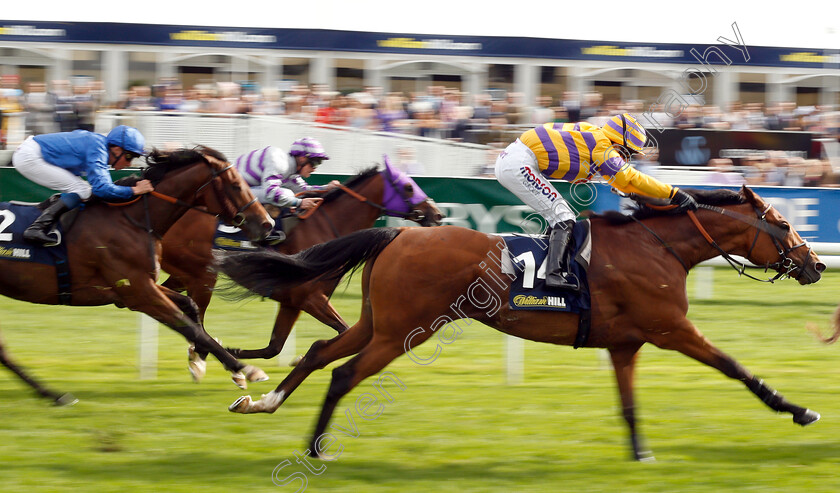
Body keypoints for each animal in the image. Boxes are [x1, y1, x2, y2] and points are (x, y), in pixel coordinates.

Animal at [0, 144, 274, 402]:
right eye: (236, 185)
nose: (268, 224)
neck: (132, 219)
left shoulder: (144, 285)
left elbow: (191, 307)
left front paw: (202, 357)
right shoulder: (138, 293)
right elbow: (186, 325)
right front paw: (244, 369)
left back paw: (53, 395)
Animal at [159, 160, 446, 382]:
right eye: (408, 186)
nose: (437, 214)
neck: (326, 226)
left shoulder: (292, 301)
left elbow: (273, 347)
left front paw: (247, 355)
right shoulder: (311, 297)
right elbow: (343, 329)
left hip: (183, 274)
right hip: (202, 276)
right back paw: (200, 359)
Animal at [218, 185, 828, 462]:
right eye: (782, 223)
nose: (816, 264)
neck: (660, 248)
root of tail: (400, 232)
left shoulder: (625, 344)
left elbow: (629, 404)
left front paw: (640, 454)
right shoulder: (671, 330)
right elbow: (736, 367)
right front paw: (798, 409)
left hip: (378, 322)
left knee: (319, 351)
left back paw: (262, 401)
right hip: (404, 331)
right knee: (344, 374)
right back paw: (316, 447)